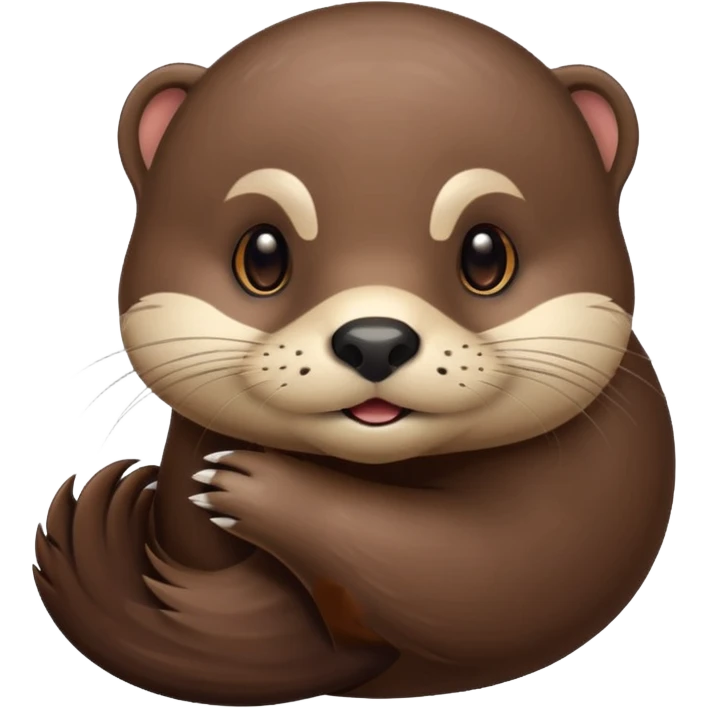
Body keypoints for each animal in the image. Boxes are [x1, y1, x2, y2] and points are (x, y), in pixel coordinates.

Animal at [35, 3, 674, 705]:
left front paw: (248, 487)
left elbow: (459, 573)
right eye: (262, 255)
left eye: (486, 255)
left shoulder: (591, 498)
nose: (375, 341)